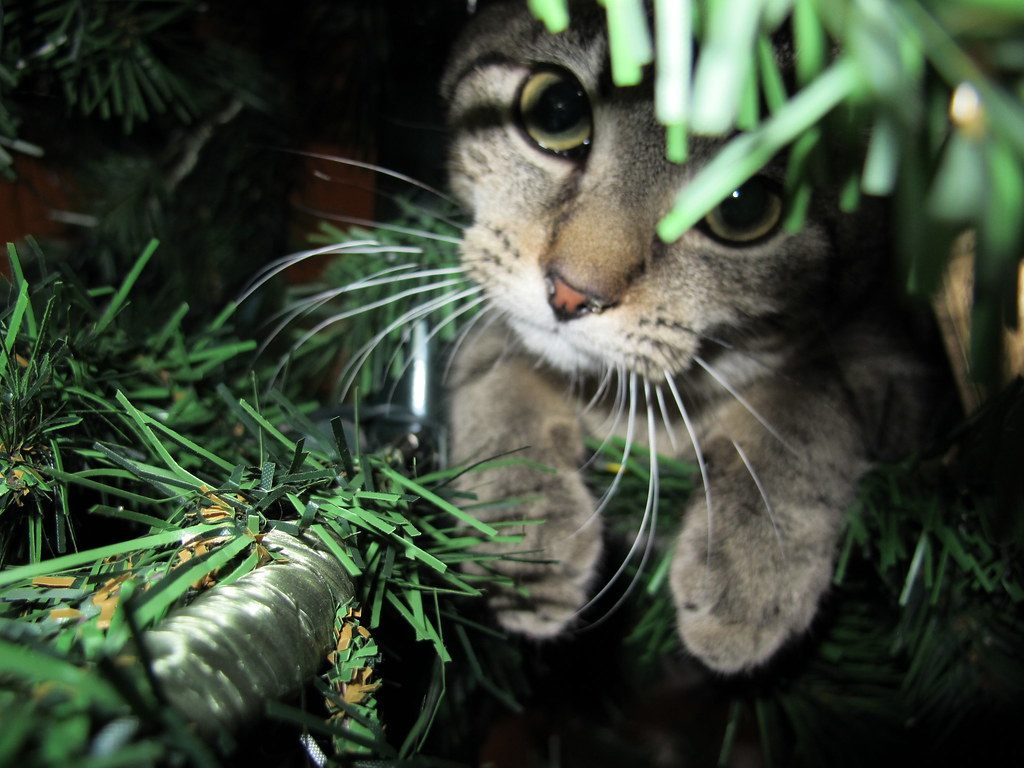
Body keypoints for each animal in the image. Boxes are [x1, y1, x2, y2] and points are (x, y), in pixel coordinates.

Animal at [440, 0, 937, 671]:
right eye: (558, 111)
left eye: (743, 204)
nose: (570, 293)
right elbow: (494, 360)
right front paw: (520, 527)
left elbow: (810, 400)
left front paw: (758, 556)